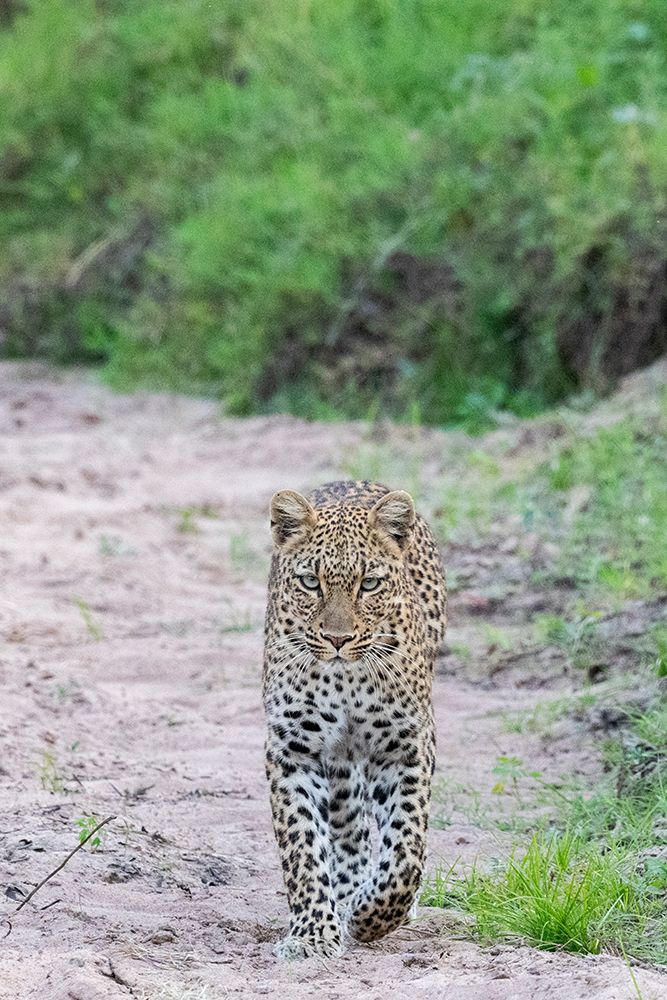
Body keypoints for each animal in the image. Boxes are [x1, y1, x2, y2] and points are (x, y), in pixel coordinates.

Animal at [263, 480, 447, 960]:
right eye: (311, 582)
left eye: (370, 583)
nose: (338, 639)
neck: (345, 677)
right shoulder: (292, 749)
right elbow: (302, 845)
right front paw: (312, 933)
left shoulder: (405, 745)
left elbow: (406, 848)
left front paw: (373, 916)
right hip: (339, 757)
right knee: (349, 822)